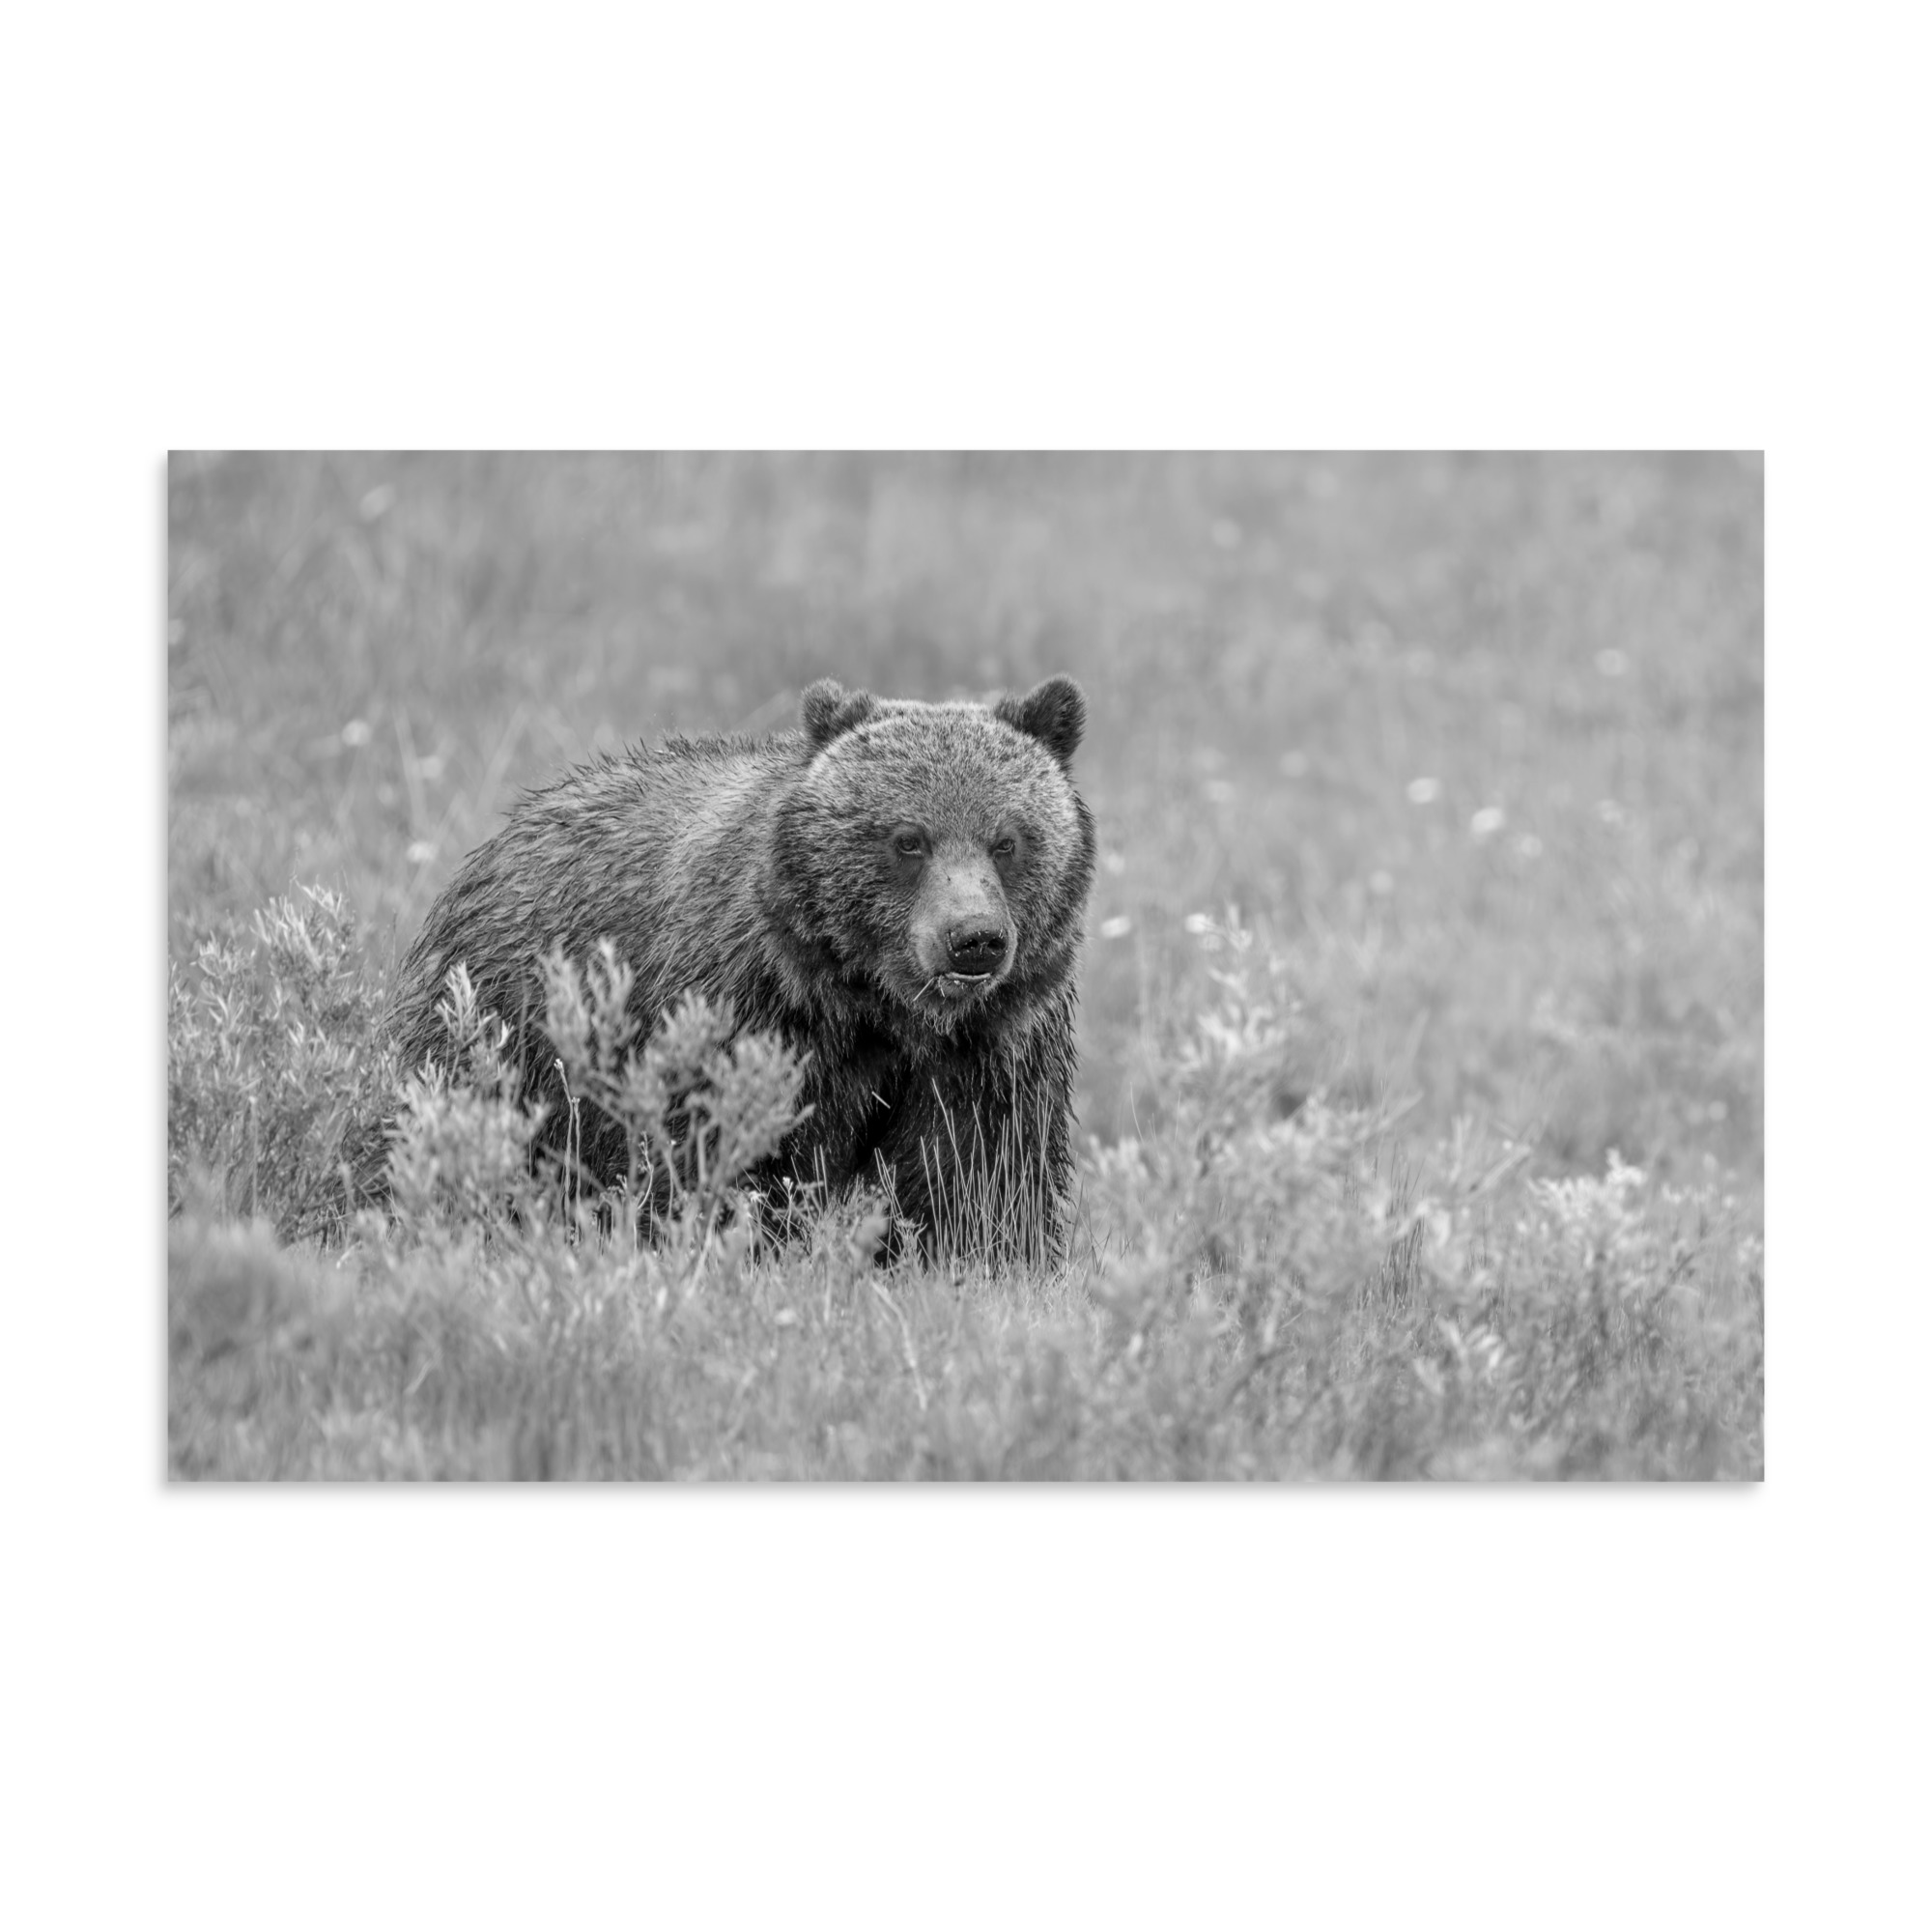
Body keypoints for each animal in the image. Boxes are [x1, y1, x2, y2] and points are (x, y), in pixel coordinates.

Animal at [380, 675, 1096, 1264]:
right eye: (908, 839)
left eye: (1007, 840)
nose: (973, 939)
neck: (877, 1006)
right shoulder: (749, 1010)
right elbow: (726, 1153)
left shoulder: (993, 1045)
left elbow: (980, 1176)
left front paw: (981, 1260)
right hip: (506, 1028)